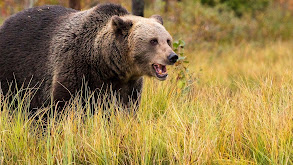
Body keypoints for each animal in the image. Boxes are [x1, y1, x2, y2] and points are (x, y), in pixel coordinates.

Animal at [0, 3, 177, 111]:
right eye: (153, 41)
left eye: (168, 40)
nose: (172, 56)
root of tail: (6, 22)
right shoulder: (75, 68)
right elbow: (63, 105)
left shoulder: (128, 86)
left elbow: (126, 109)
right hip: (14, 71)